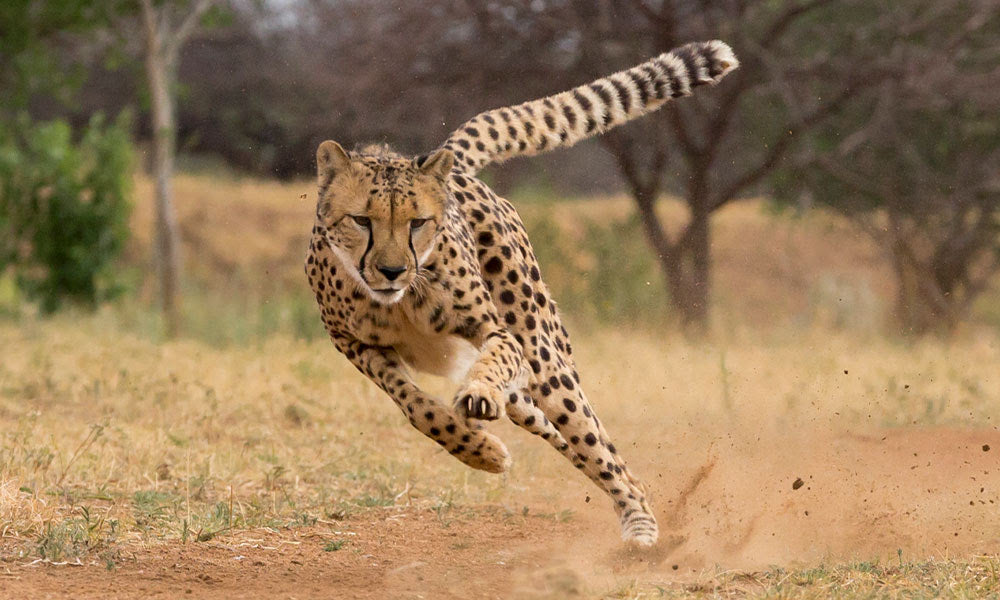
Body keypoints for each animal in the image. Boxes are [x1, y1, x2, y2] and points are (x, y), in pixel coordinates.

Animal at [305, 40, 738, 546]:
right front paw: (479, 450)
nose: (392, 270)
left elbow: (491, 366)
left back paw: (641, 520)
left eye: (417, 223)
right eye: (361, 220)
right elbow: (416, 407)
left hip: (546, 357)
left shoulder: (498, 333)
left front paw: (478, 400)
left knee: (597, 444)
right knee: (566, 436)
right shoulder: (354, 346)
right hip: (526, 397)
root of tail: (453, 168)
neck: (401, 298)